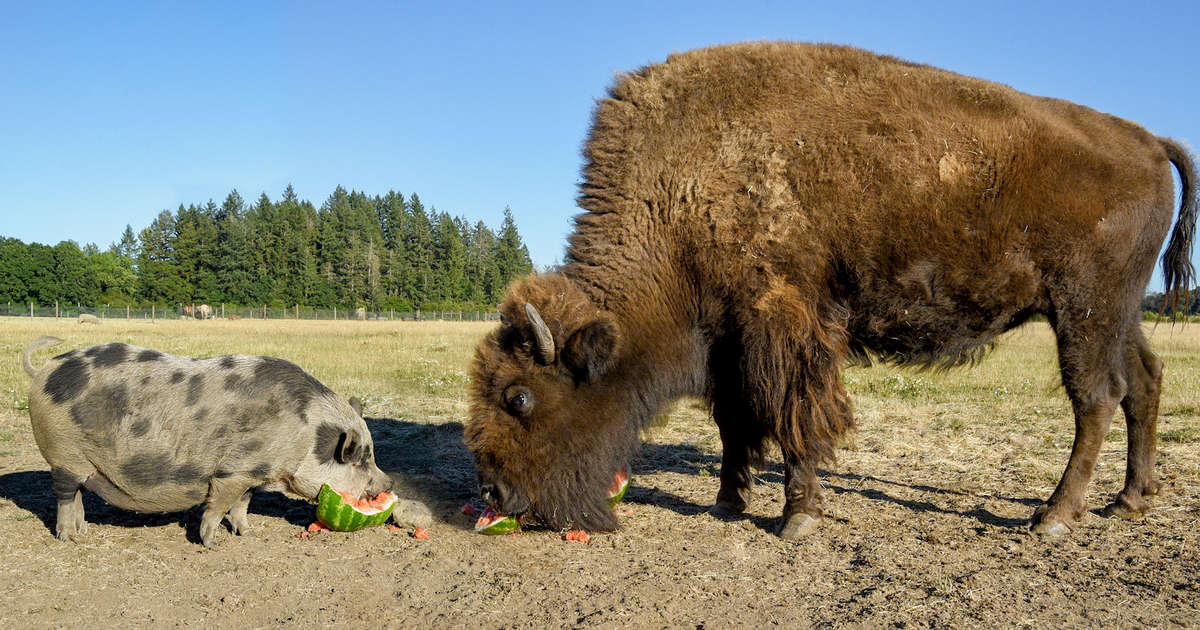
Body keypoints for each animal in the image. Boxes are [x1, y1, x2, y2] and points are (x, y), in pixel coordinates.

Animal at [20, 336, 393, 547]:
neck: (305, 434)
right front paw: (212, 544)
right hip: (63, 454)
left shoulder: (253, 473)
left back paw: (81, 532)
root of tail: (43, 371)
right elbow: (218, 506)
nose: (388, 482)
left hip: (79, 462)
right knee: (65, 495)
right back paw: (68, 539)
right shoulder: (233, 471)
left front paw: (249, 535)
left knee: (79, 494)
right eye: (361, 459)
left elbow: (243, 505)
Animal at [465, 42, 1196, 538]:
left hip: (1082, 309)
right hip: (1118, 312)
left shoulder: (781, 321)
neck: (679, 188)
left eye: (520, 397)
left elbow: (795, 414)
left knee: (1096, 397)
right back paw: (1128, 502)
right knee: (1145, 381)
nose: (495, 495)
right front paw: (728, 502)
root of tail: (1148, 140)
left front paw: (797, 519)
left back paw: (1055, 516)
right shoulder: (727, 338)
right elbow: (736, 421)